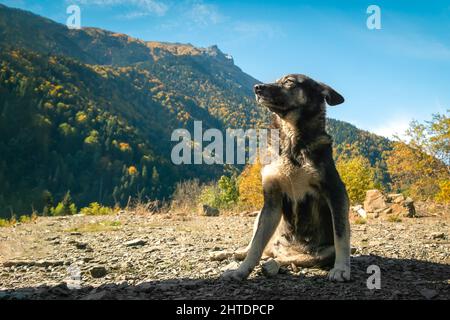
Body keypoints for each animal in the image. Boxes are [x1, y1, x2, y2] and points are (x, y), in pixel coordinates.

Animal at [221, 74, 352, 282]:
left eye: (289, 82)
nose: (256, 87)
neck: (291, 140)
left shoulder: (336, 192)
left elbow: (341, 236)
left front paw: (341, 268)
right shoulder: (272, 201)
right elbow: (256, 245)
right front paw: (240, 271)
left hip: (317, 253)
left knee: (288, 259)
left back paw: (271, 265)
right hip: (260, 217)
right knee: (258, 248)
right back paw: (231, 254)